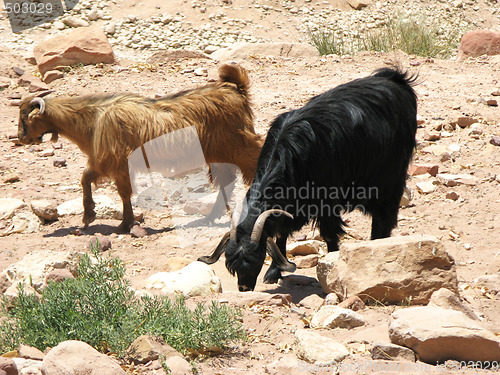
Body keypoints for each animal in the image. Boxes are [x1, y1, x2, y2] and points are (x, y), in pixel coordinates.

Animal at [18, 66, 264, 234]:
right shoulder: (103, 162)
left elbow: (122, 192)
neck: (92, 118)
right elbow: (86, 178)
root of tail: (236, 91)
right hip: (220, 154)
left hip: (239, 145)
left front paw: (124, 224)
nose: (21, 138)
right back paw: (210, 218)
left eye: (25, 117)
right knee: (226, 182)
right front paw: (90, 215)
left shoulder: (115, 162)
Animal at [198, 67, 418, 290]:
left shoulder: (327, 200)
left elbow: (329, 233)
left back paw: (379, 244)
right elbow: (281, 234)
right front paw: (275, 272)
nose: (244, 288)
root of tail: (395, 79)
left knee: (384, 215)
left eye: (256, 257)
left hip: (390, 174)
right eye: (231, 264)